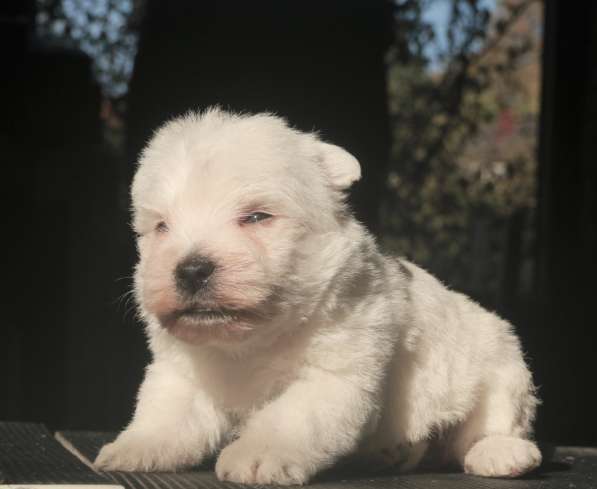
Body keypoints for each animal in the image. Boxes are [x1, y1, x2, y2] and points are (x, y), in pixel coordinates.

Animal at [94, 107, 540, 484]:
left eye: (256, 216)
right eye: (161, 227)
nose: (190, 270)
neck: (250, 341)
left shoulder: (334, 373)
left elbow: (289, 418)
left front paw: (257, 456)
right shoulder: (183, 372)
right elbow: (166, 414)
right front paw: (137, 446)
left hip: (501, 362)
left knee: (494, 421)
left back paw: (501, 453)